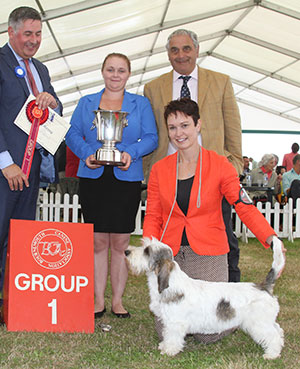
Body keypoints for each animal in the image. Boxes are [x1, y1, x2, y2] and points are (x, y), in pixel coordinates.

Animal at [125, 237, 284, 358]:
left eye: (147, 251)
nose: (126, 251)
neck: (171, 282)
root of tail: (264, 286)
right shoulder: (168, 322)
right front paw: (164, 346)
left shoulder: (175, 323)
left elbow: (172, 337)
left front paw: (169, 350)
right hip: (266, 321)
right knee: (278, 330)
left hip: (259, 324)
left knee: (273, 335)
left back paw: (271, 354)